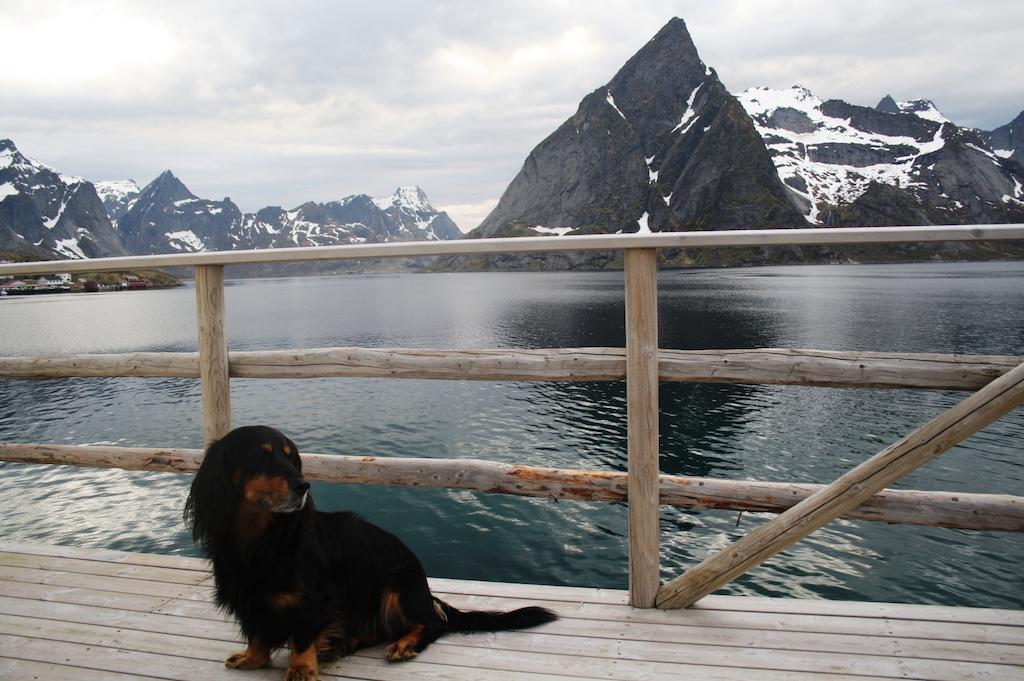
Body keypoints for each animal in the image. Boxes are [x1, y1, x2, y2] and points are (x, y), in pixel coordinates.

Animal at [180, 426, 557, 679]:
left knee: (433, 624)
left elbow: (302, 634)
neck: (263, 539)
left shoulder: (315, 599)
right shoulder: (250, 597)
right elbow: (259, 631)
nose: (303, 486)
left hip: (397, 584)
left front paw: (301, 668)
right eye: (261, 456)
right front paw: (253, 657)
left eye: (291, 458)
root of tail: (426, 590)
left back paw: (404, 644)